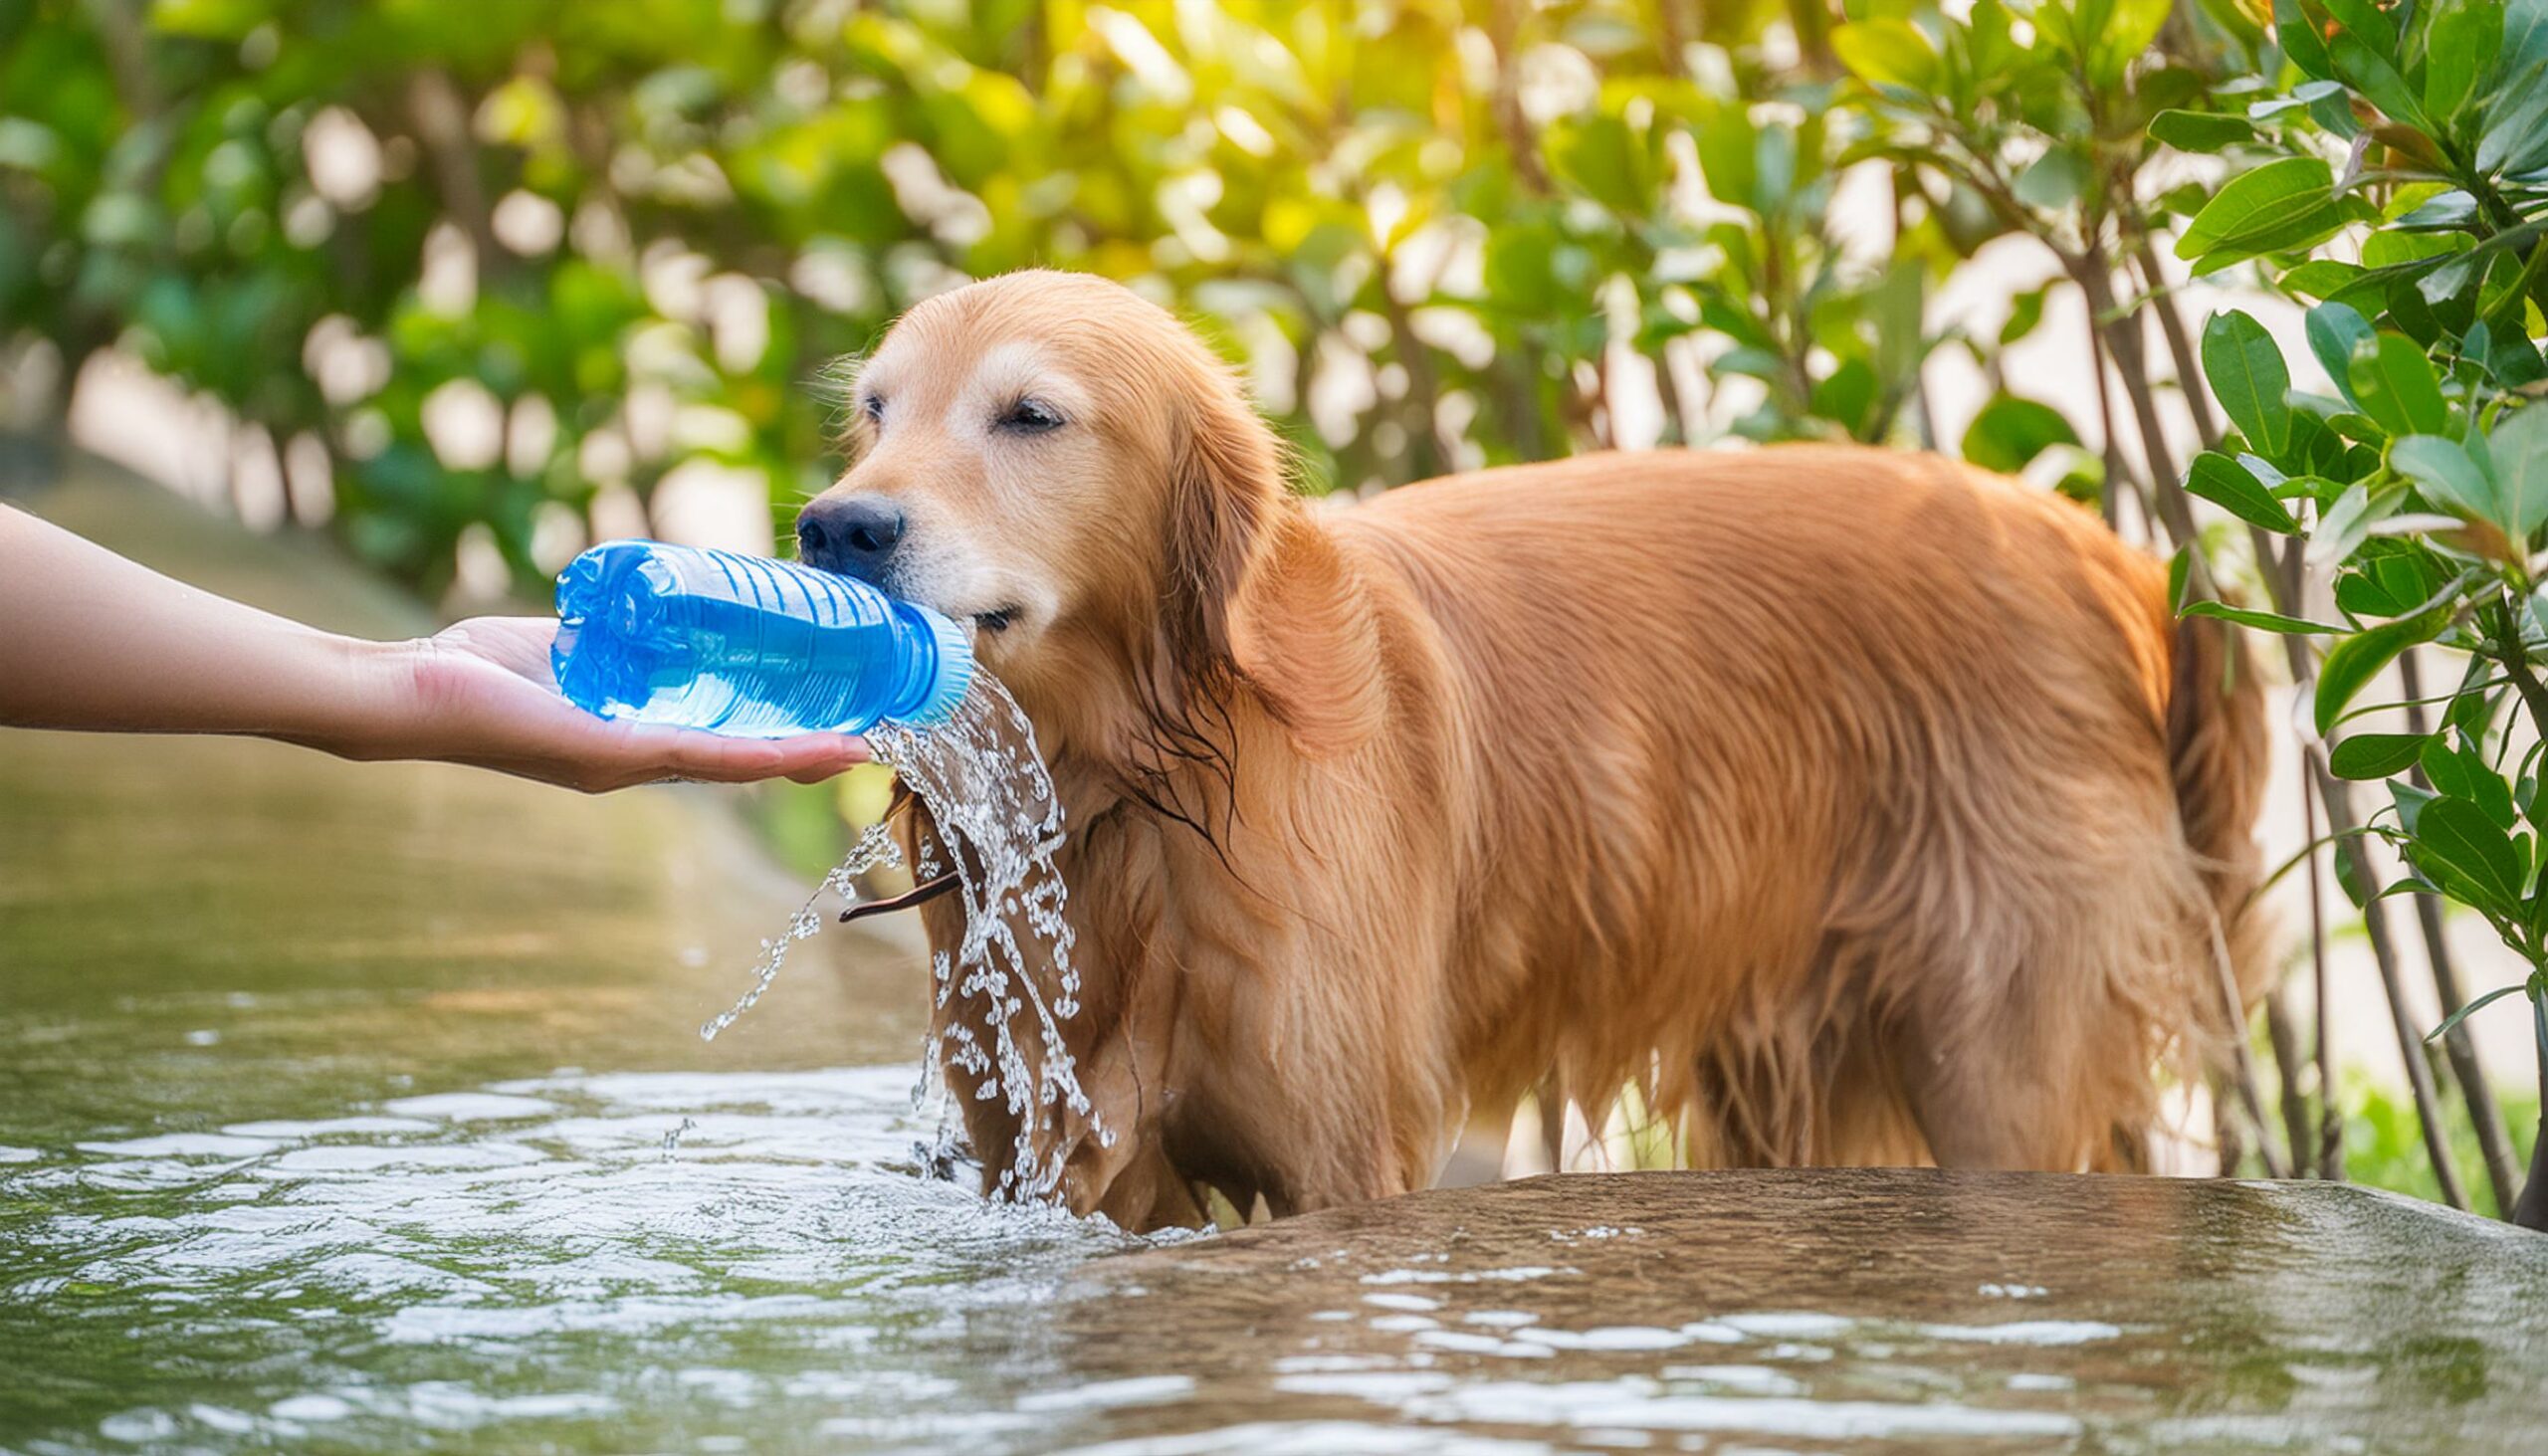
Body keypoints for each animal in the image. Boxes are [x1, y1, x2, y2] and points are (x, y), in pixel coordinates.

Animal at [794, 270, 2272, 1228]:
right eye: (875, 410)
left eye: (1030, 415)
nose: (834, 526)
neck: (1142, 785)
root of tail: (2120, 559)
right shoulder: (1043, 1162)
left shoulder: (1341, 1161)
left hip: (1997, 1063)